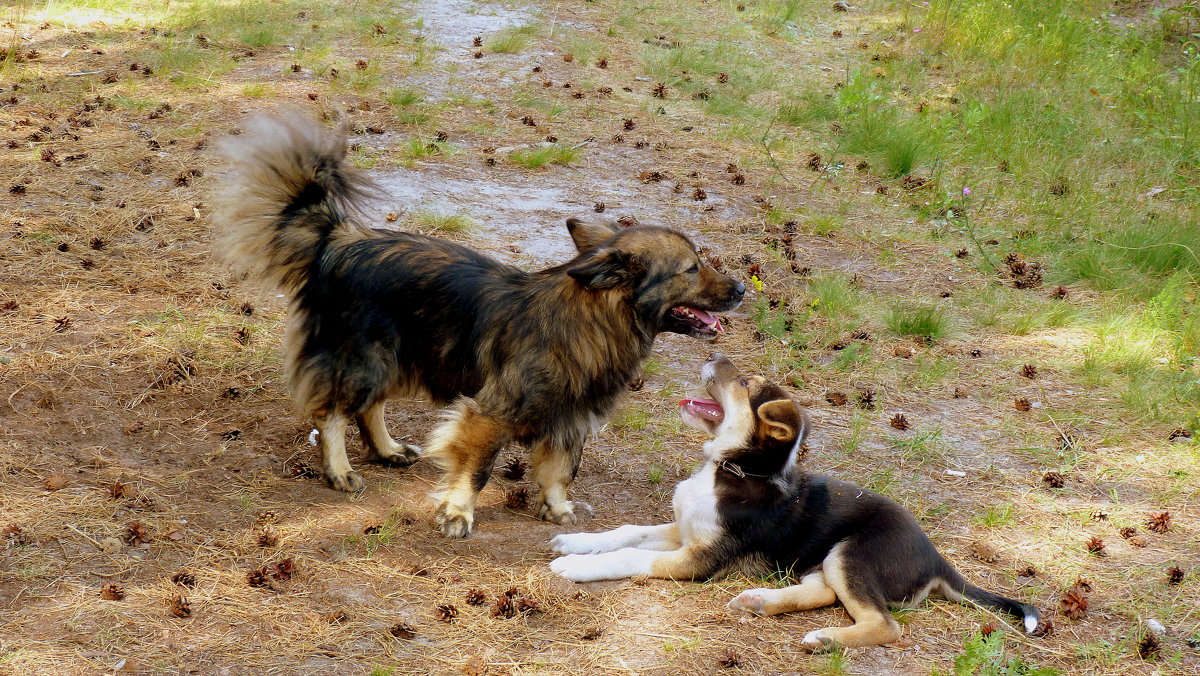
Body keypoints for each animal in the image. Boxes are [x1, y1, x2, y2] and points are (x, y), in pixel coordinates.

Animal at [212, 116, 744, 540]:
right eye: (691, 268)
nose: (741, 288)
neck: (590, 319)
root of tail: (336, 243)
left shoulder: (569, 419)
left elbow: (560, 470)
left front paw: (557, 508)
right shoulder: (490, 414)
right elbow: (478, 470)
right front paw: (457, 513)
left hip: (400, 357)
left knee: (369, 408)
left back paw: (387, 450)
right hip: (365, 359)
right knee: (333, 414)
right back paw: (340, 470)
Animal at [549, 357, 1036, 653]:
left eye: (744, 383)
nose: (712, 351)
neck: (735, 470)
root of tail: (937, 558)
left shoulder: (699, 558)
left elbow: (630, 555)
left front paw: (575, 567)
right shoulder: (684, 529)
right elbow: (626, 532)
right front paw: (574, 541)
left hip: (852, 553)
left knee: (885, 625)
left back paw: (824, 638)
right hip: (825, 560)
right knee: (823, 591)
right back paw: (759, 602)